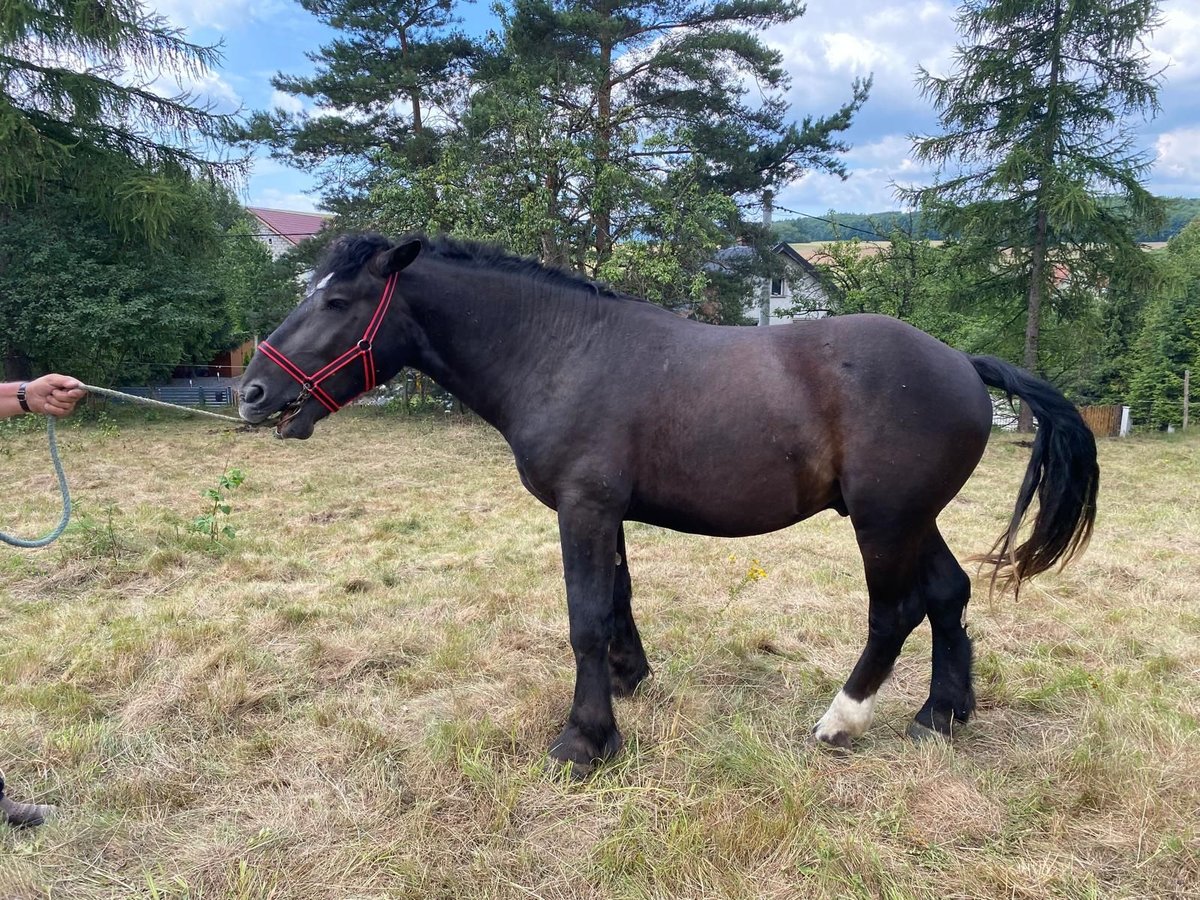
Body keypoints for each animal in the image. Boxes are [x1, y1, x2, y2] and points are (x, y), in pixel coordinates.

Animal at [238, 232, 1099, 777]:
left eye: (338, 301)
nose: (253, 392)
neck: (560, 349)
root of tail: (961, 361)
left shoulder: (583, 508)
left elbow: (585, 618)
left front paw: (584, 741)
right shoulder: (603, 512)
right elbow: (618, 601)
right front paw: (628, 681)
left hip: (885, 521)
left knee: (895, 613)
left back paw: (843, 720)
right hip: (914, 519)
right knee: (949, 595)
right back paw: (941, 715)